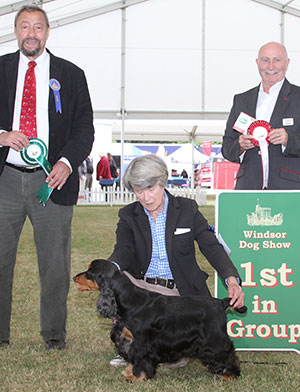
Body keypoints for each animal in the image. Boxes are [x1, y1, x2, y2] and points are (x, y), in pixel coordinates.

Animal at [73, 258, 246, 382]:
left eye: (90, 271)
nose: (74, 278)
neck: (129, 300)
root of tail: (221, 302)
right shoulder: (131, 340)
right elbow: (133, 358)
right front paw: (129, 372)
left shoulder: (143, 341)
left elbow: (140, 359)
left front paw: (137, 377)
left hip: (214, 339)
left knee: (228, 353)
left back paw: (230, 374)